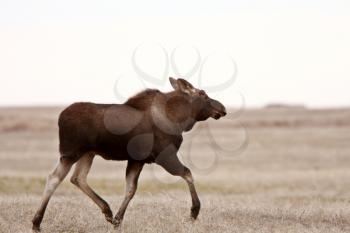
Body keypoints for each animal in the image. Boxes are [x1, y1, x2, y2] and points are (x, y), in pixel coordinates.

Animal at [32, 77, 227, 231]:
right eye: (203, 94)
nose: (223, 108)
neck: (179, 119)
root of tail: (60, 118)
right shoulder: (165, 156)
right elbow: (188, 173)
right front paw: (194, 211)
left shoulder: (137, 160)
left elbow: (130, 189)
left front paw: (118, 220)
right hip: (71, 152)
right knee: (54, 178)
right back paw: (36, 222)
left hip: (88, 153)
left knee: (77, 178)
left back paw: (107, 211)